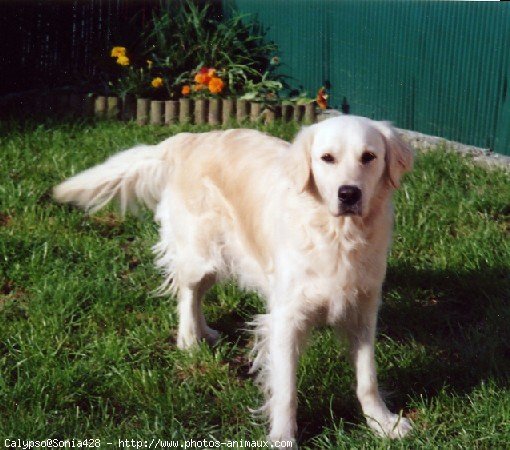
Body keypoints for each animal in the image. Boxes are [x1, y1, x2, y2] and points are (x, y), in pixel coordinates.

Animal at [53, 115, 414, 442]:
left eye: (368, 157)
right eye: (327, 158)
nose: (348, 194)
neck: (339, 235)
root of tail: (188, 139)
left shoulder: (364, 309)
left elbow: (367, 378)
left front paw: (383, 423)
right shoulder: (286, 318)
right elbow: (286, 390)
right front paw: (283, 438)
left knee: (198, 294)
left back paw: (206, 332)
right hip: (200, 254)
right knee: (187, 292)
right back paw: (188, 340)